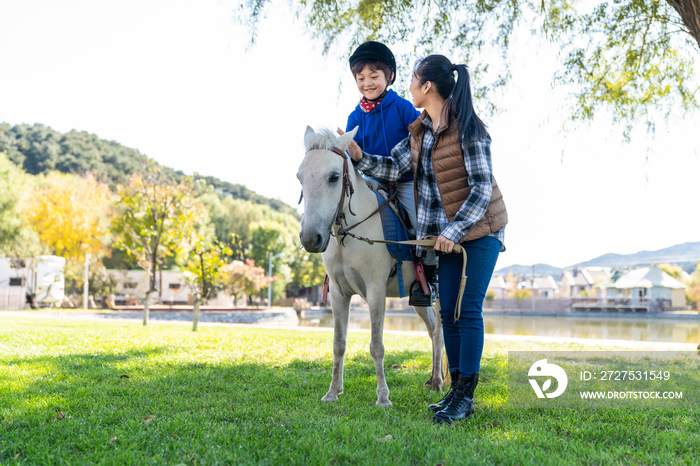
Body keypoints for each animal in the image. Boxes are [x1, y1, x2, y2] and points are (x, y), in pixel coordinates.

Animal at [296, 125, 442, 406]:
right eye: (300, 177)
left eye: (334, 177)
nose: (310, 238)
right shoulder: (338, 294)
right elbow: (338, 343)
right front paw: (333, 392)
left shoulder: (376, 292)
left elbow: (377, 346)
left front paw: (383, 397)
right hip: (420, 299)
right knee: (433, 329)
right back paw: (433, 379)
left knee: (441, 330)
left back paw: (439, 381)